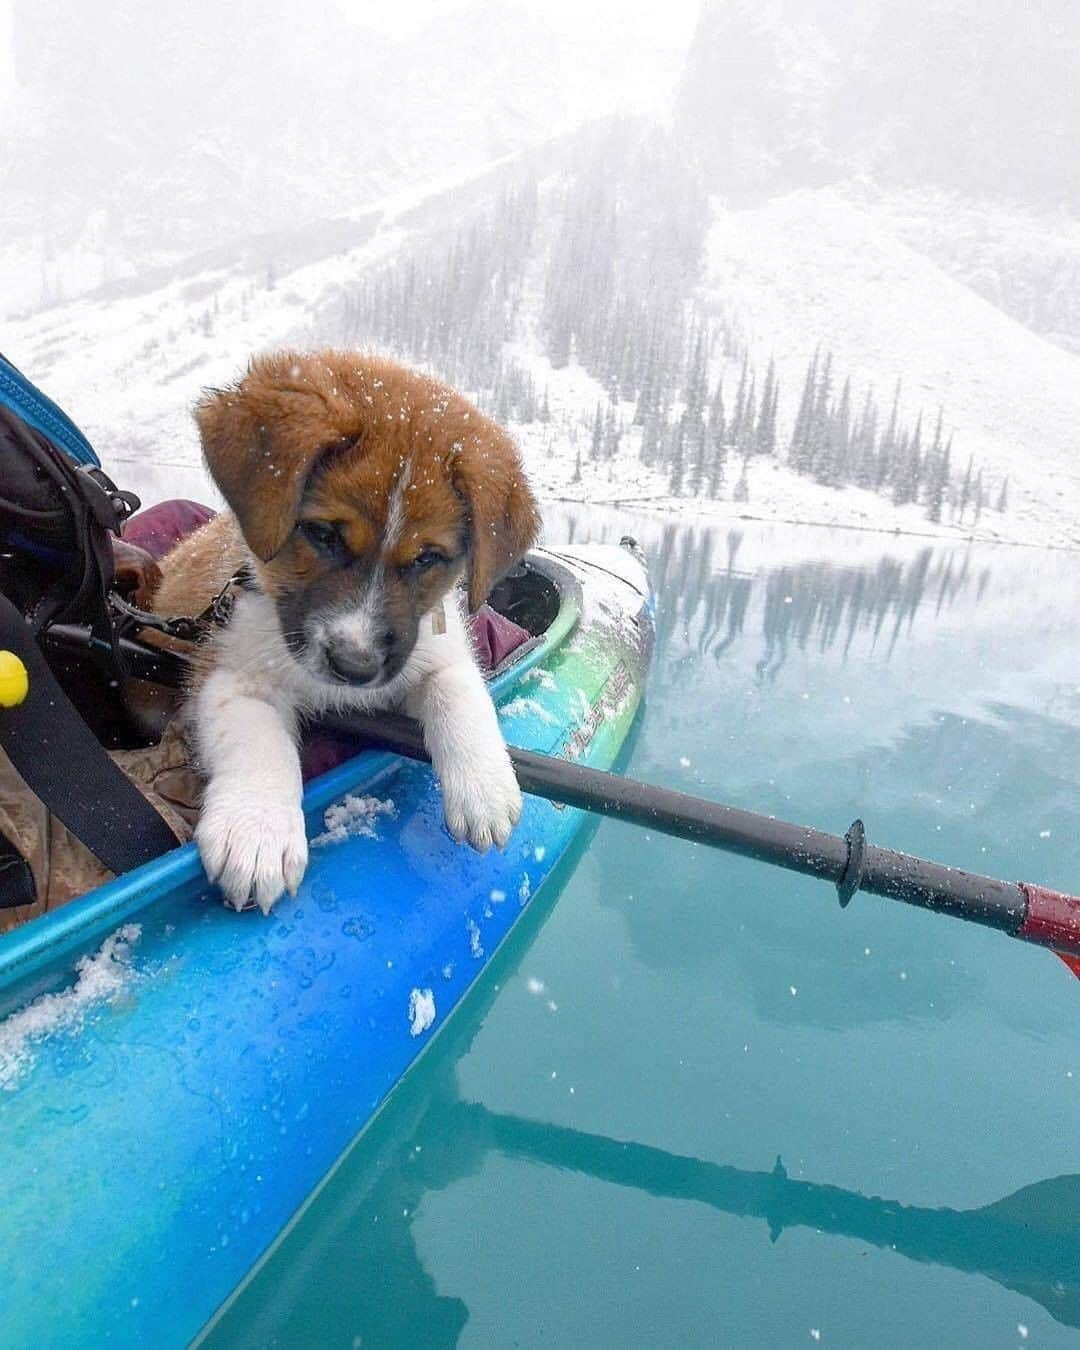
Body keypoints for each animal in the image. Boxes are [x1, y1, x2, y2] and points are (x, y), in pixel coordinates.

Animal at [151, 351, 540, 918]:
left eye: (427, 558)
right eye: (323, 534)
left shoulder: (435, 648)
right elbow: (259, 741)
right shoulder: (230, 675)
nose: (354, 668)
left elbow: (458, 692)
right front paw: (257, 830)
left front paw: (485, 787)